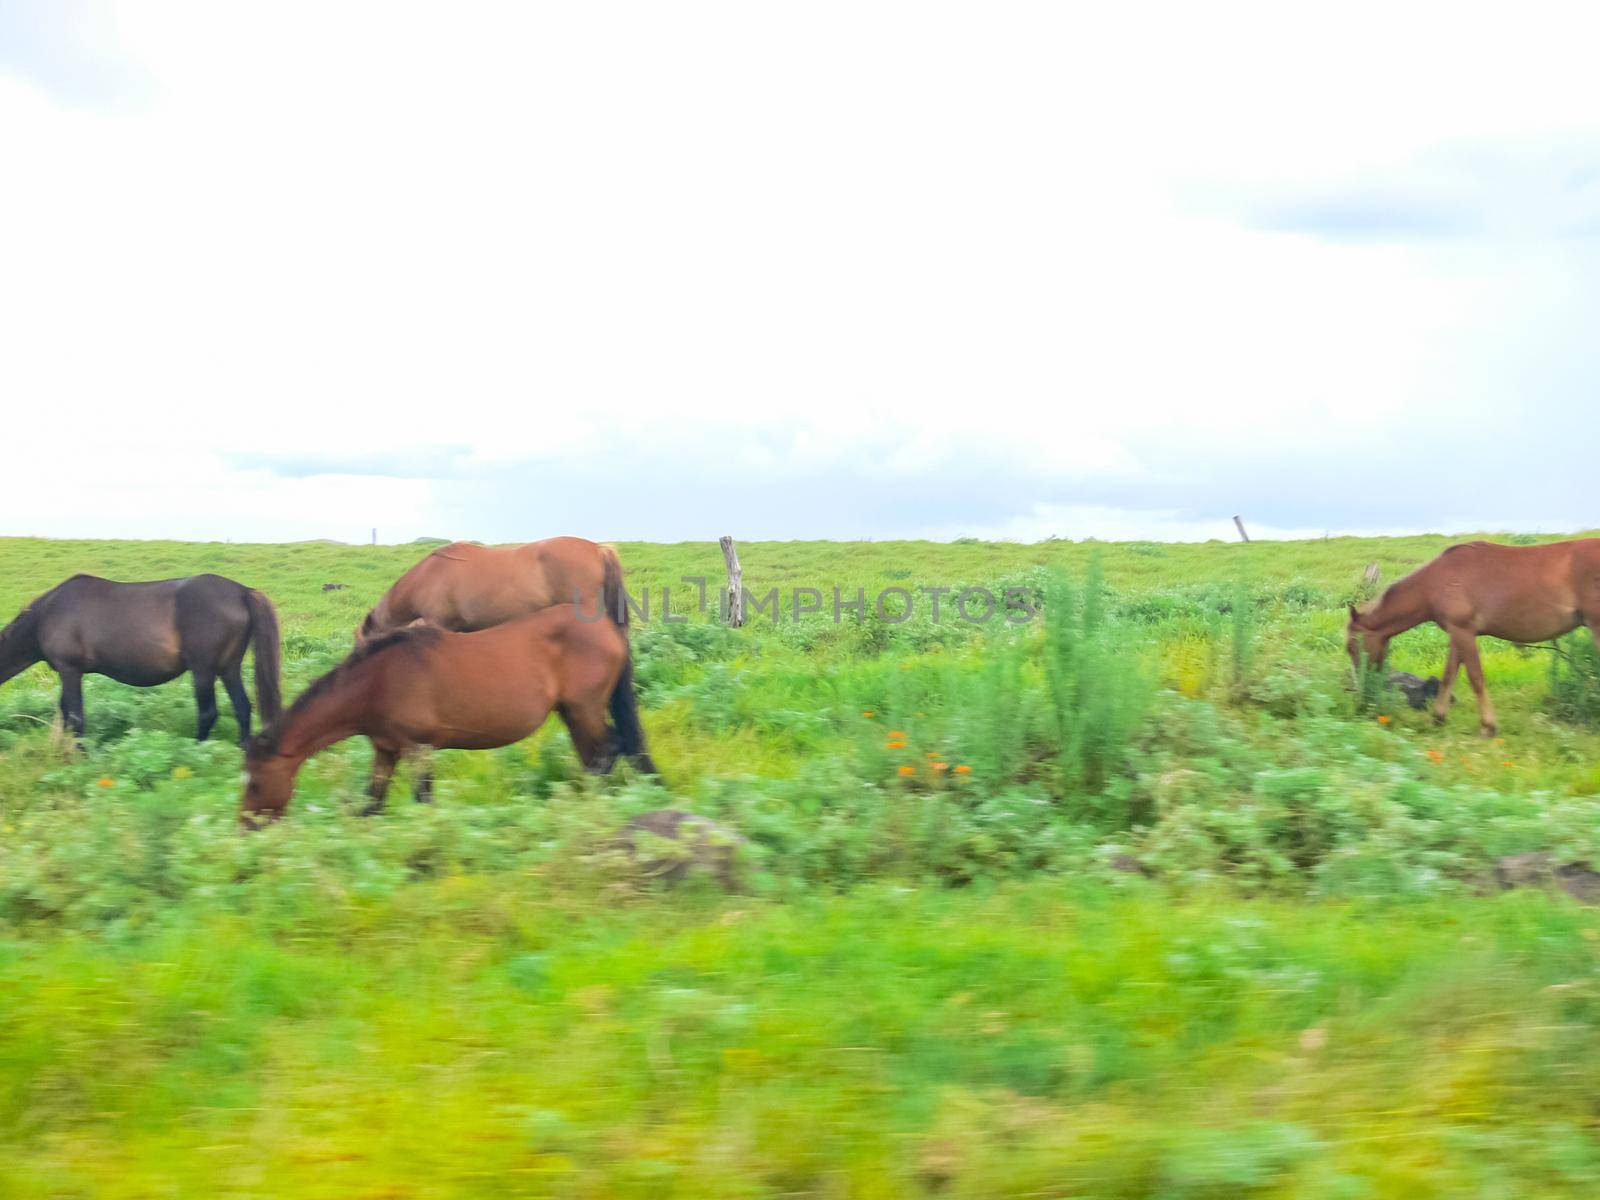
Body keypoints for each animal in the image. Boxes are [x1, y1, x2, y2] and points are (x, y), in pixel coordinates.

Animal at [243, 604, 630, 825]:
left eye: (255, 782)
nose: (246, 827)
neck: (380, 680)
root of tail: (608, 629)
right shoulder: (386, 750)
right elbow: (372, 805)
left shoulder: (419, 748)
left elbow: (423, 801)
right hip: (572, 713)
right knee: (596, 755)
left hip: (585, 709)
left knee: (608, 750)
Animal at [1344, 540, 1600, 739]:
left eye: (1351, 646)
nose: (1360, 692)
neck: (1437, 581)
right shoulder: (1458, 633)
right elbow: (1448, 675)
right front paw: (1438, 717)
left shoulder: (1464, 631)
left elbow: (1475, 677)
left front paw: (1488, 726)